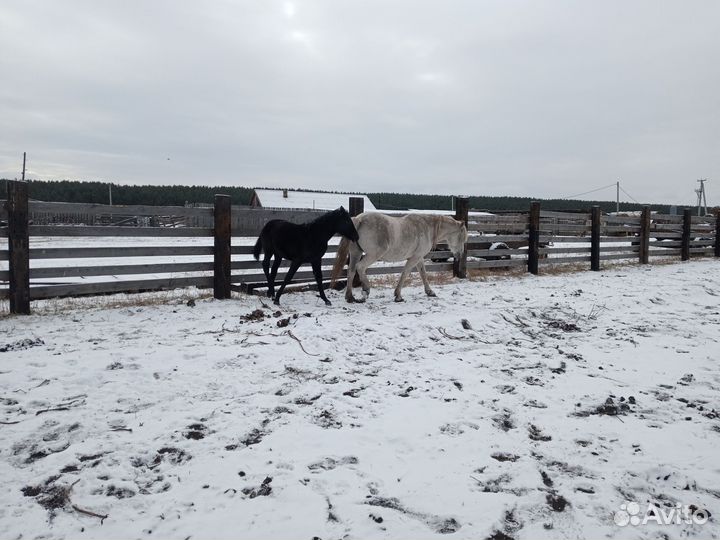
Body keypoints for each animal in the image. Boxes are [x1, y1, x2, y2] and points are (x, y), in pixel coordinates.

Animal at [330, 212, 467, 303]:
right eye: (461, 237)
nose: (459, 255)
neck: (427, 227)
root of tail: (359, 219)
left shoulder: (418, 258)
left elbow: (423, 273)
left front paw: (430, 292)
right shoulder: (414, 258)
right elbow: (405, 273)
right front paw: (398, 296)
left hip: (356, 253)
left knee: (351, 271)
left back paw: (350, 297)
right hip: (373, 255)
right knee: (360, 267)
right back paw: (366, 290)